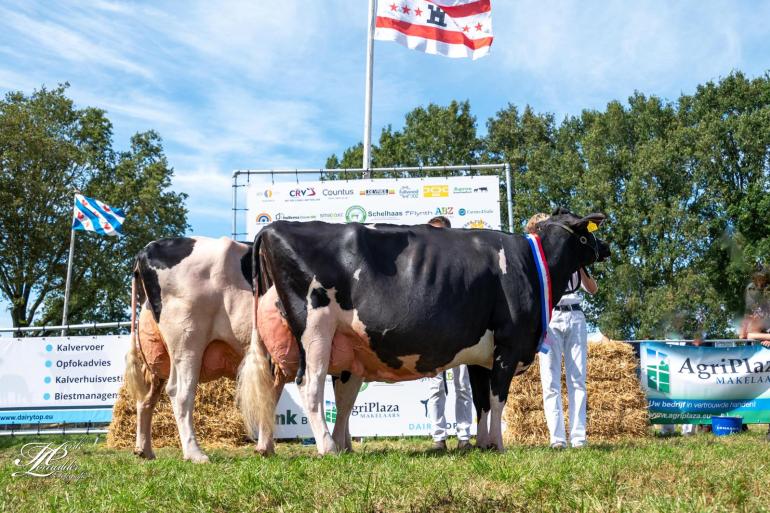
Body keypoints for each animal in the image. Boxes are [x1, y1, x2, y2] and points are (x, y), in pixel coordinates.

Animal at [237, 208, 608, 452]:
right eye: (587, 232)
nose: (605, 247)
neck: (530, 264)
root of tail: (272, 229)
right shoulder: (509, 343)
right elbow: (498, 398)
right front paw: (499, 445)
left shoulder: (482, 354)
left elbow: (482, 402)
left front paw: (484, 444)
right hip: (314, 330)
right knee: (309, 386)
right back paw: (327, 447)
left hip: (334, 345)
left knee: (289, 388)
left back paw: (279, 447)